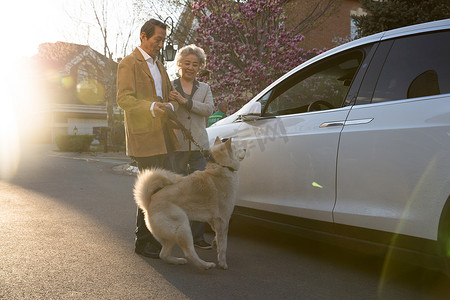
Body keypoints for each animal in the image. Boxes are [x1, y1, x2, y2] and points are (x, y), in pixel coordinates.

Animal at [134, 138, 246, 270]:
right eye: (236, 147)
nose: (245, 148)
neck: (220, 167)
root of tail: (149, 202)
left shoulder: (214, 221)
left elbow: (217, 237)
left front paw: (215, 242)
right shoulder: (223, 220)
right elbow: (223, 246)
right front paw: (223, 263)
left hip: (171, 237)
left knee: (164, 255)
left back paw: (178, 261)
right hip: (183, 227)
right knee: (189, 253)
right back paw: (206, 265)